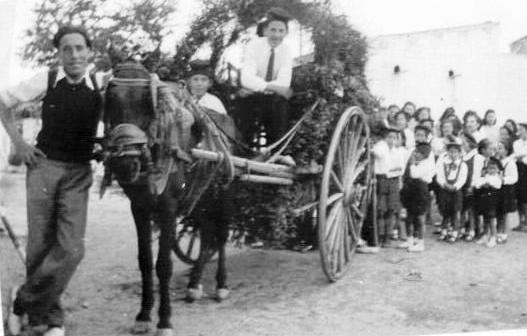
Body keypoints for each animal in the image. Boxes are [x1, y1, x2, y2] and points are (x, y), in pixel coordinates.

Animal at [100, 61, 235, 336]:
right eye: (111, 101)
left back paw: (221, 285)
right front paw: (143, 315)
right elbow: (145, 261)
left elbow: (163, 265)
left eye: (146, 103)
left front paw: (164, 320)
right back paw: (194, 285)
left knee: (221, 236)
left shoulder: (168, 208)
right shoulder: (139, 207)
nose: (126, 163)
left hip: (222, 195)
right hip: (200, 199)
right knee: (207, 236)